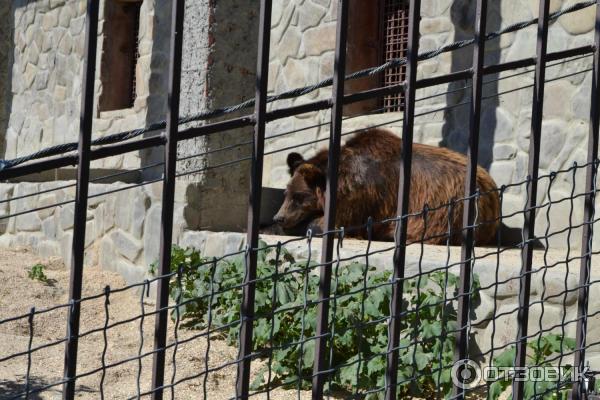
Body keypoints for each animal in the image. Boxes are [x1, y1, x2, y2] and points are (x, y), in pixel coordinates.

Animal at [274, 128, 500, 245]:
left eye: (298, 196)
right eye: (286, 193)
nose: (279, 217)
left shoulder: (360, 196)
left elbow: (332, 223)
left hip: (447, 209)